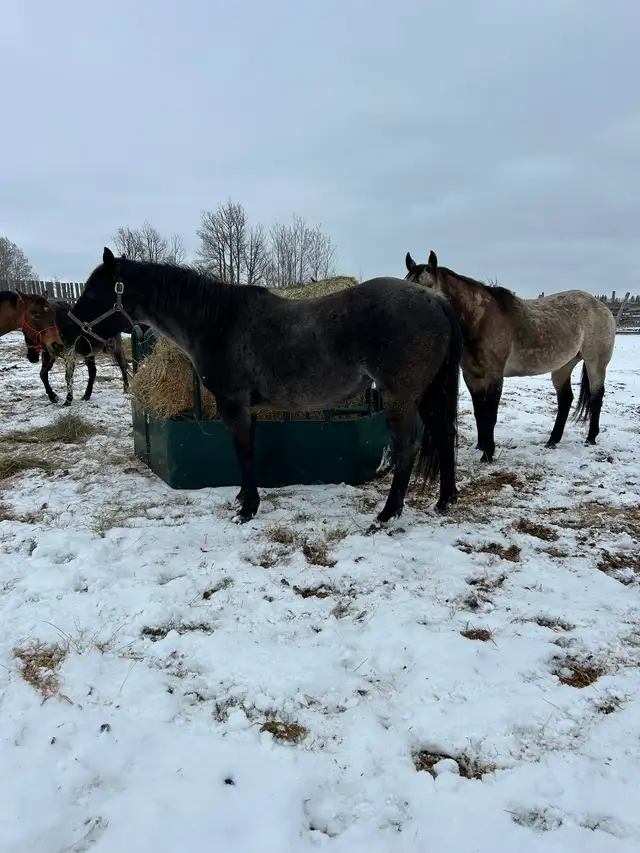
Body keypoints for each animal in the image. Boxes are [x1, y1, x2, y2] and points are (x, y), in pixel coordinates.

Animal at [67, 247, 463, 524]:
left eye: (93, 292)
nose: (74, 334)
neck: (217, 321)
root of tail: (435, 300)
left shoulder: (233, 404)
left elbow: (243, 452)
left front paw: (247, 510)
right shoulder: (248, 408)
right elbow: (249, 451)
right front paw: (245, 499)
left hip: (401, 397)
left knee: (407, 449)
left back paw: (386, 515)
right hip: (427, 395)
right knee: (444, 437)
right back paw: (445, 500)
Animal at [405, 251, 616, 461]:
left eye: (426, 288)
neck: (481, 321)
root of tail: (601, 306)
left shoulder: (494, 376)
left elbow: (490, 415)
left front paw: (488, 453)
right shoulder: (472, 376)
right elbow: (479, 412)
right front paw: (481, 445)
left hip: (595, 363)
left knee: (596, 396)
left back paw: (590, 438)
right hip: (563, 366)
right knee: (565, 399)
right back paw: (553, 441)